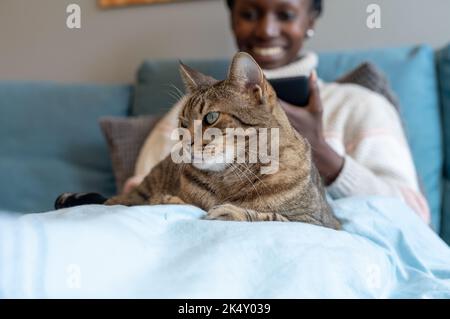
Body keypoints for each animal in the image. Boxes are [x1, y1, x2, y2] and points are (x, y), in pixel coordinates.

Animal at [54, 52, 340, 230]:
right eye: (182, 123)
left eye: (211, 117)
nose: (185, 143)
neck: (228, 179)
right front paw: (171, 200)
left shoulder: (320, 223)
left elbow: (272, 216)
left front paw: (230, 211)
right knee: (117, 200)